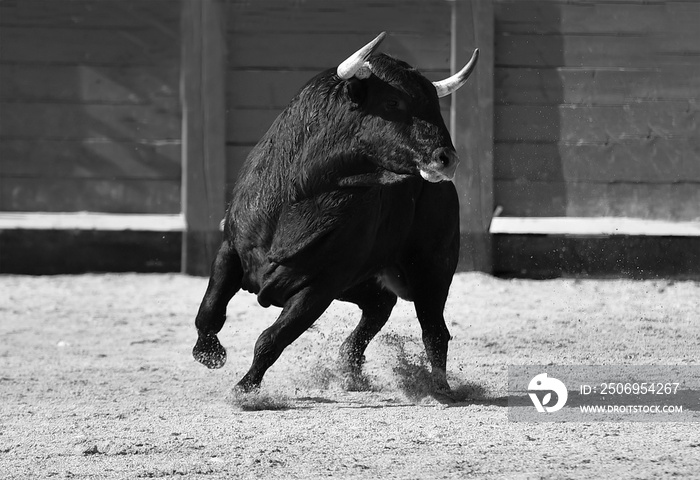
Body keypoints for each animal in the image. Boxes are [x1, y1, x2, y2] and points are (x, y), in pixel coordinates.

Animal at [191, 31, 478, 396]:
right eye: (393, 103)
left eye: (436, 105)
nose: (447, 159)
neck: (301, 192)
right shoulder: (231, 247)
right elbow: (209, 310)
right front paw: (210, 354)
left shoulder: (323, 283)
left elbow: (272, 338)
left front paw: (244, 390)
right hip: (362, 281)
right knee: (379, 306)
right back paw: (351, 367)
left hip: (432, 269)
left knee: (433, 328)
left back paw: (439, 387)